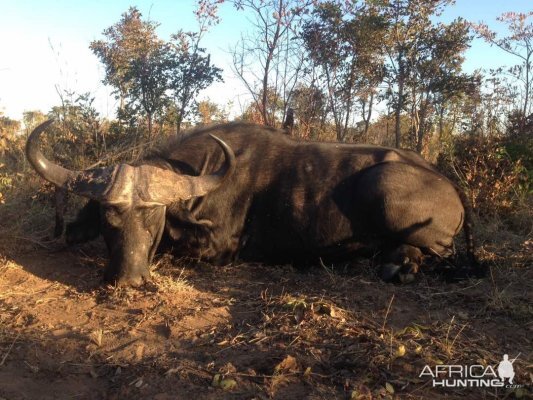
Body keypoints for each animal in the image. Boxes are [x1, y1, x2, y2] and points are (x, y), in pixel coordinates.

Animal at [27, 120, 480, 286]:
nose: (128, 280)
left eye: (154, 217)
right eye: (108, 218)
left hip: (383, 188)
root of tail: (451, 187)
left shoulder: (218, 248)